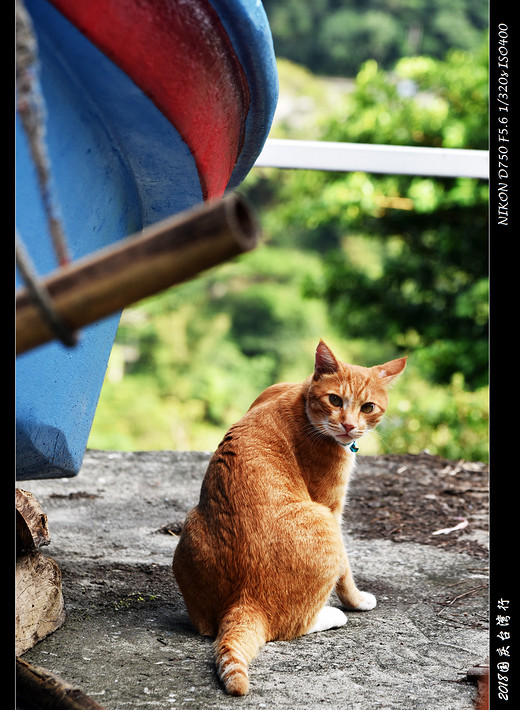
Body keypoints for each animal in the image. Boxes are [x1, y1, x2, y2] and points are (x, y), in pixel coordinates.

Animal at [174, 342, 406, 700]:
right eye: (335, 400)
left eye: (368, 407)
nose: (349, 426)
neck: (300, 397)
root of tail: (245, 599)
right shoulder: (332, 508)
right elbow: (345, 572)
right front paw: (356, 601)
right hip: (322, 522)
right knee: (291, 625)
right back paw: (332, 615)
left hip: (191, 526)